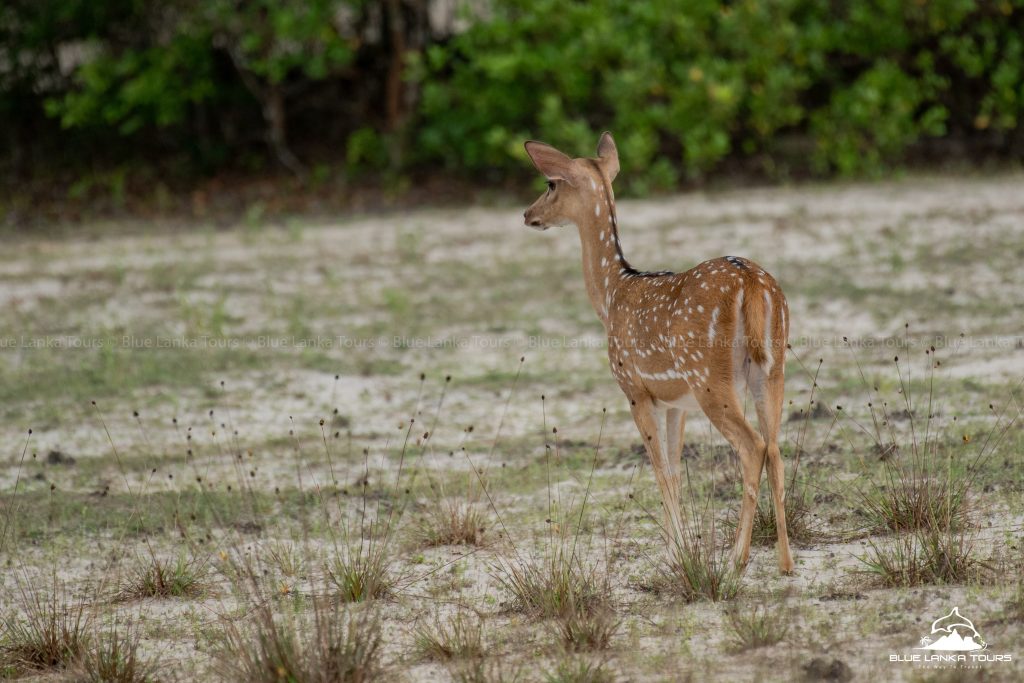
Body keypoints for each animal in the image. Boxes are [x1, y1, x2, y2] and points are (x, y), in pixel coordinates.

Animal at [524, 131, 794, 573]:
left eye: (550, 184)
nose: (528, 214)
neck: (611, 296)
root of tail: (752, 284)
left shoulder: (635, 389)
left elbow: (661, 470)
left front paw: (675, 554)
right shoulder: (674, 401)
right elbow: (676, 468)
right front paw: (676, 548)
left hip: (709, 376)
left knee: (752, 446)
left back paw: (737, 557)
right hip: (771, 367)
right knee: (775, 448)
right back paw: (785, 561)